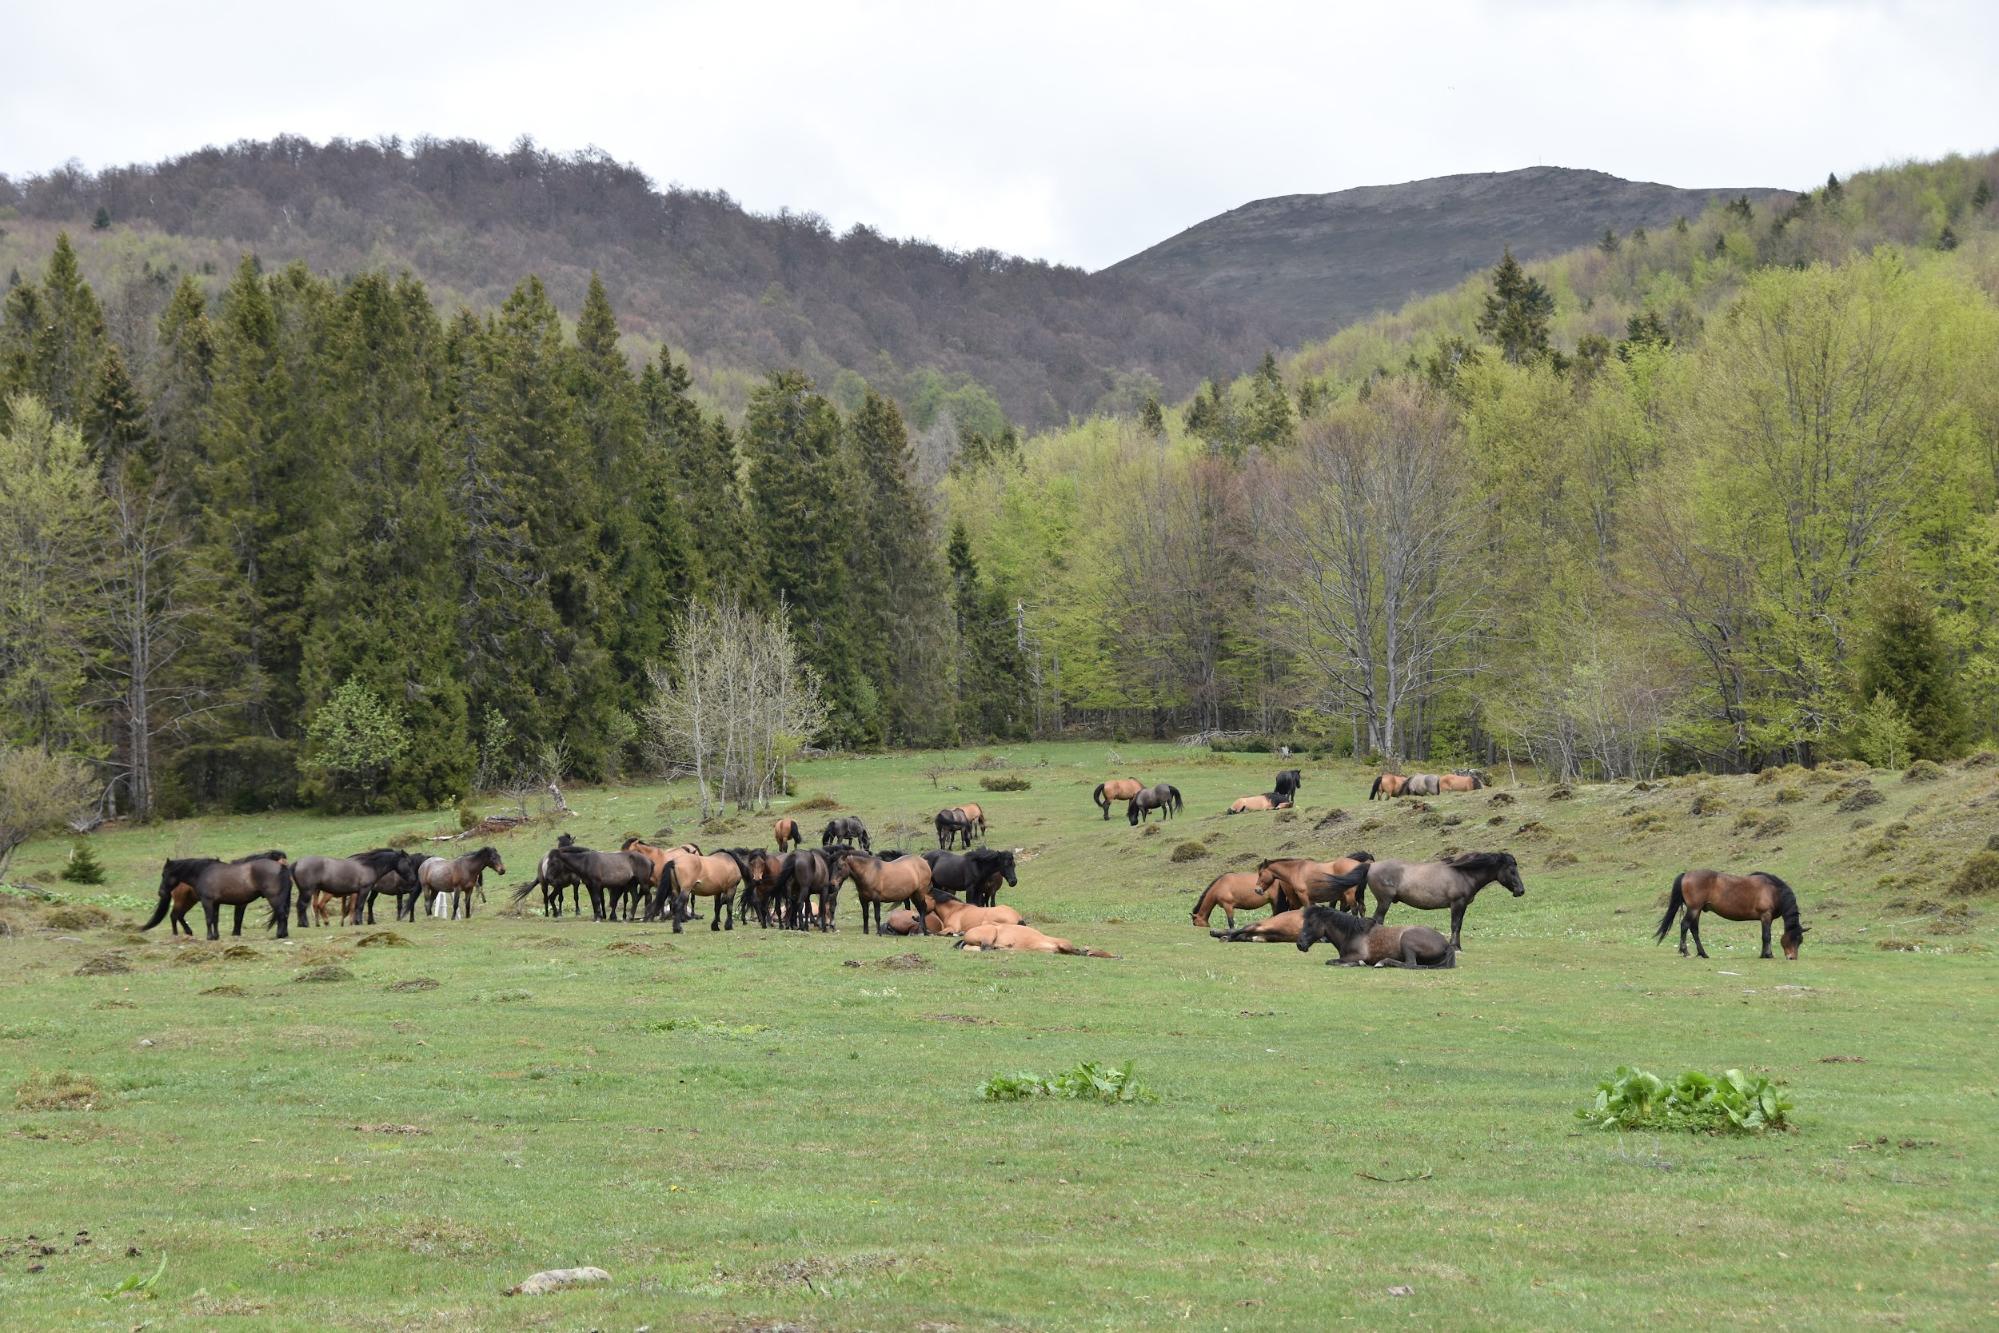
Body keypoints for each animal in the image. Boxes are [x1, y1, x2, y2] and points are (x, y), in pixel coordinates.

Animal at [144, 851, 293, 943]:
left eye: (164, 874)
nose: (161, 892)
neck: (203, 872)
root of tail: (281, 868)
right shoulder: (216, 903)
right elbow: (215, 919)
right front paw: (216, 936)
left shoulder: (207, 902)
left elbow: (209, 919)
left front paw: (210, 937)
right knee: (176, 915)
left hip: (274, 898)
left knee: (281, 914)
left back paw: (280, 935)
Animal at [1295, 907, 1455, 971]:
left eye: (1310, 923)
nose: (1299, 944)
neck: (1353, 933)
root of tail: (1447, 945)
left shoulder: (1356, 955)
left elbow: (1332, 961)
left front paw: (1357, 964)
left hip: (1407, 941)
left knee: (1410, 964)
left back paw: (1382, 963)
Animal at [1319, 851, 1519, 955]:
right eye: (1512, 870)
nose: (1521, 890)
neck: (1462, 873)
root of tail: (1371, 865)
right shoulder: (1457, 904)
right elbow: (1455, 925)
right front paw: (1455, 947)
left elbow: (1459, 925)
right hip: (1384, 901)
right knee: (1377, 920)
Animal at [1655, 871, 1815, 963]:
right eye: (1794, 939)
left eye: (1800, 940)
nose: (1792, 958)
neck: (1774, 891)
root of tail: (1686, 874)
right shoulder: (1766, 916)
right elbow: (1767, 936)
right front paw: (1768, 954)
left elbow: (1764, 936)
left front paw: (1763, 954)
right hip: (1694, 909)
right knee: (1685, 925)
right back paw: (1685, 951)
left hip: (1697, 910)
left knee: (1694, 929)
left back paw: (1703, 953)